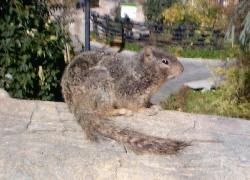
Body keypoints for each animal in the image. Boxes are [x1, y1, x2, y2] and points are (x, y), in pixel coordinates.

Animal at [61, 46, 189, 155]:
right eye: (165, 61)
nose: (183, 69)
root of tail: (74, 102)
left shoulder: (146, 96)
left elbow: (148, 102)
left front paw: (154, 105)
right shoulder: (128, 89)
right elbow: (134, 105)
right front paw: (146, 110)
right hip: (102, 86)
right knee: (103, 111)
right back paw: (122, 111)